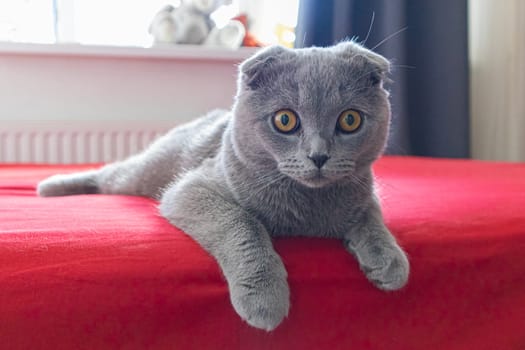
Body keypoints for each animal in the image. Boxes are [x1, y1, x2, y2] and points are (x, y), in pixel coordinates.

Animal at [39, 41, 412, 330]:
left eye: (350, 120)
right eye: (285, 120)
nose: (318, 156)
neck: (305, 208)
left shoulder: (364, 190)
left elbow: (370, 216)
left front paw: (389, 261)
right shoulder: (192, 190)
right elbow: (241, 223)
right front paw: (264, 298)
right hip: (146, 173)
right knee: (110, 174)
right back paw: (49, 186)